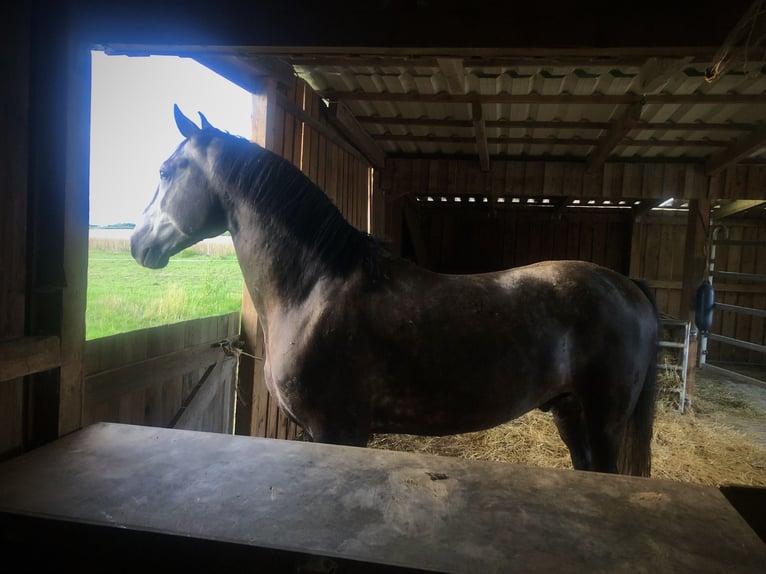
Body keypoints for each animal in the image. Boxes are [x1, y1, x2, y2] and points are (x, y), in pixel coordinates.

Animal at [131, 105, 659, 476]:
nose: (137, 243)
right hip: (569, 410)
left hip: (604, 417)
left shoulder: (337, 430)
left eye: (165, 171)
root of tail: (625, 285)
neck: (313, 291)